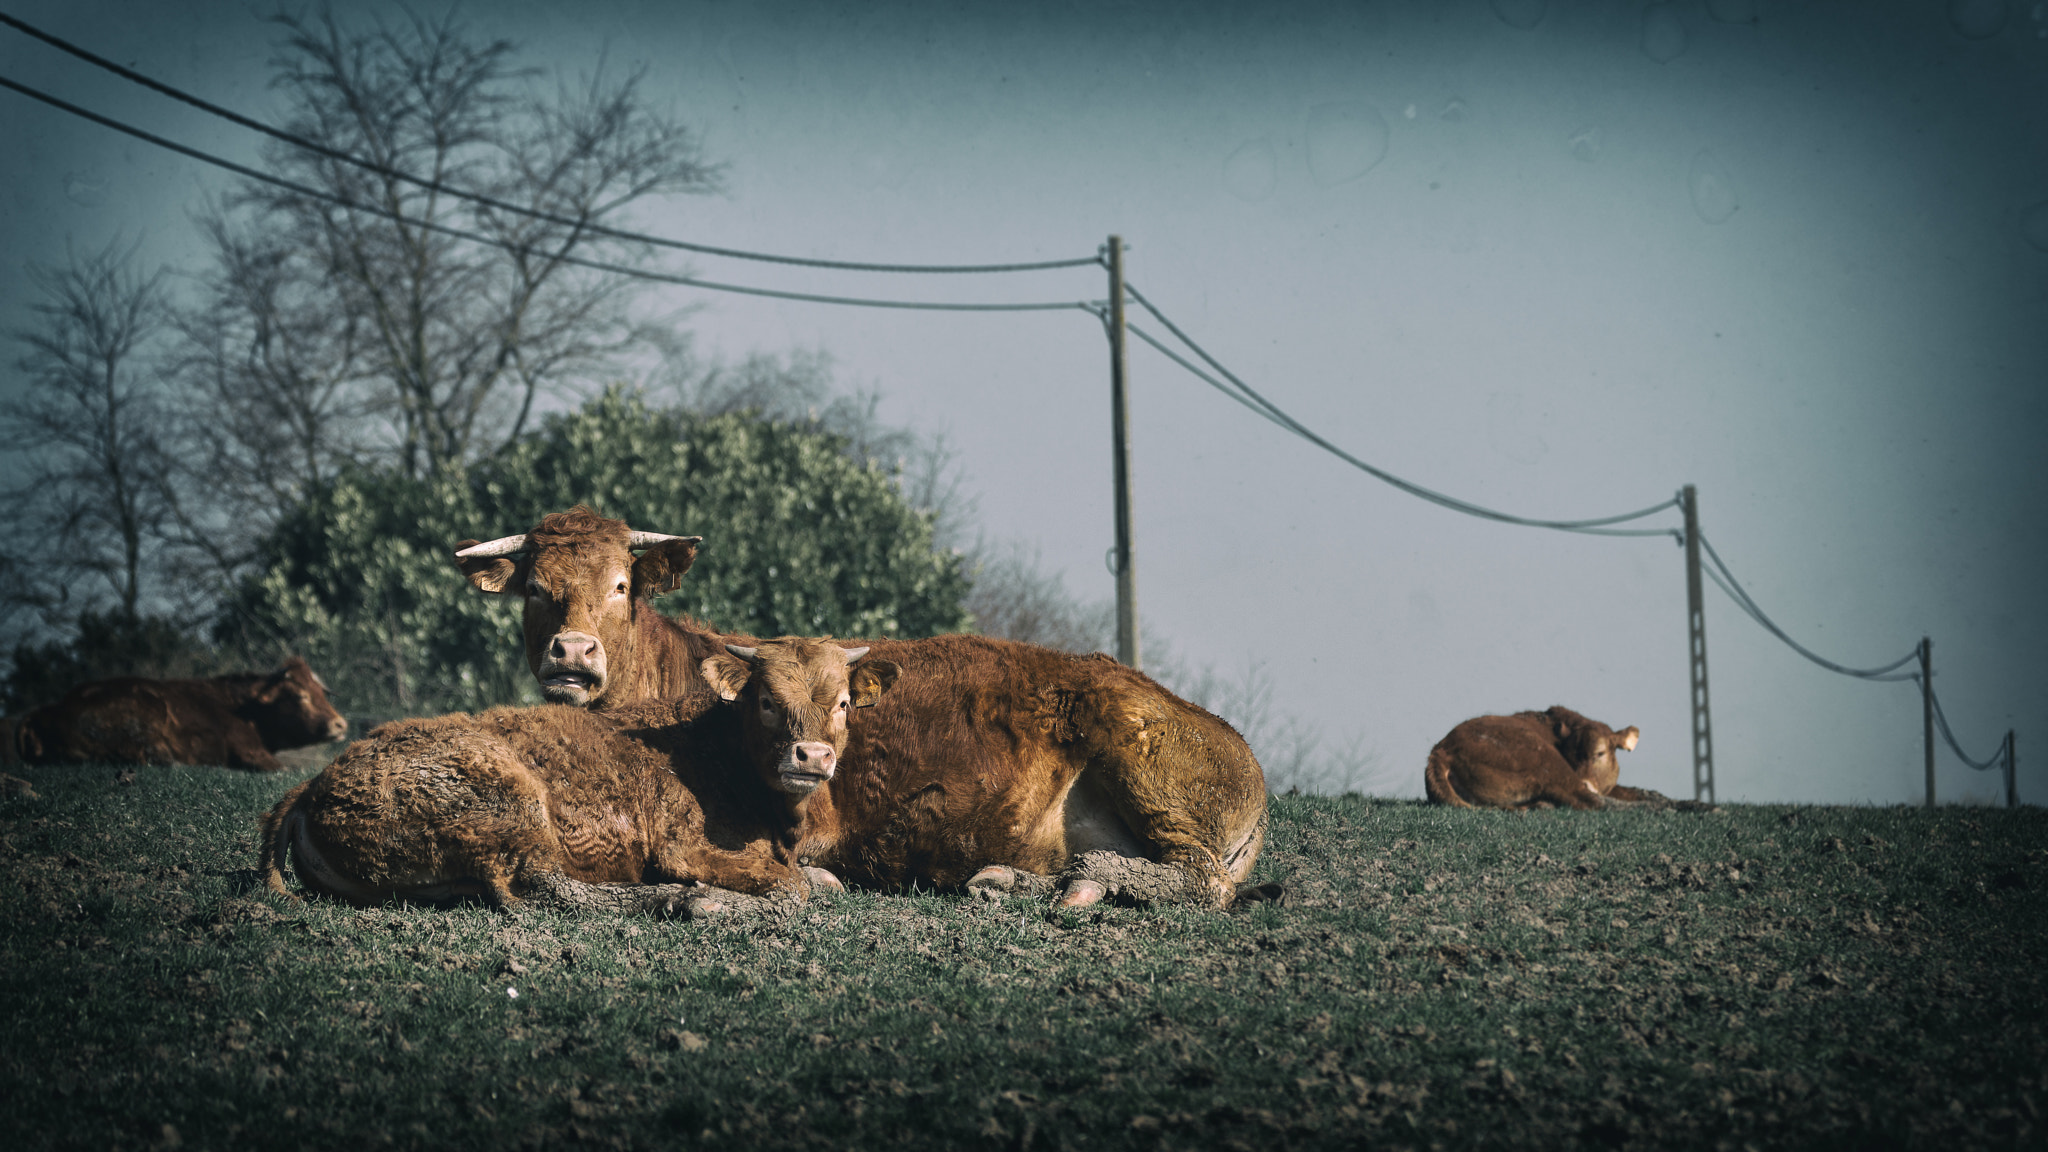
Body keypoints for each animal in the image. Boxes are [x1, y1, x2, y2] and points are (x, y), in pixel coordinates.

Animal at [259, 638, 893, 912]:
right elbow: (791, 886)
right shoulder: (684, 844)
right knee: (543, 887)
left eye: (842, 704)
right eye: (765, 701)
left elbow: (821, 879)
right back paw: (684, 899)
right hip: (509, 803)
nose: (812, 756)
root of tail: (316, 783)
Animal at [452, 507, 1269, 909]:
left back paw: (1079, 880)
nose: (573, 651)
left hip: (1147, 769)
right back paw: (1019, 880)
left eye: (622, 585)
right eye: (534, 589)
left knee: (1206, 881)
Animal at [1424, 705, 1669, 810]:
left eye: (1599, 754)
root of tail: (1441, 749)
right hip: (1546, 764)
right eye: (1570, 756)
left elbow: (1642, 790)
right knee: (1592, 802)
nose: (1585, 781)